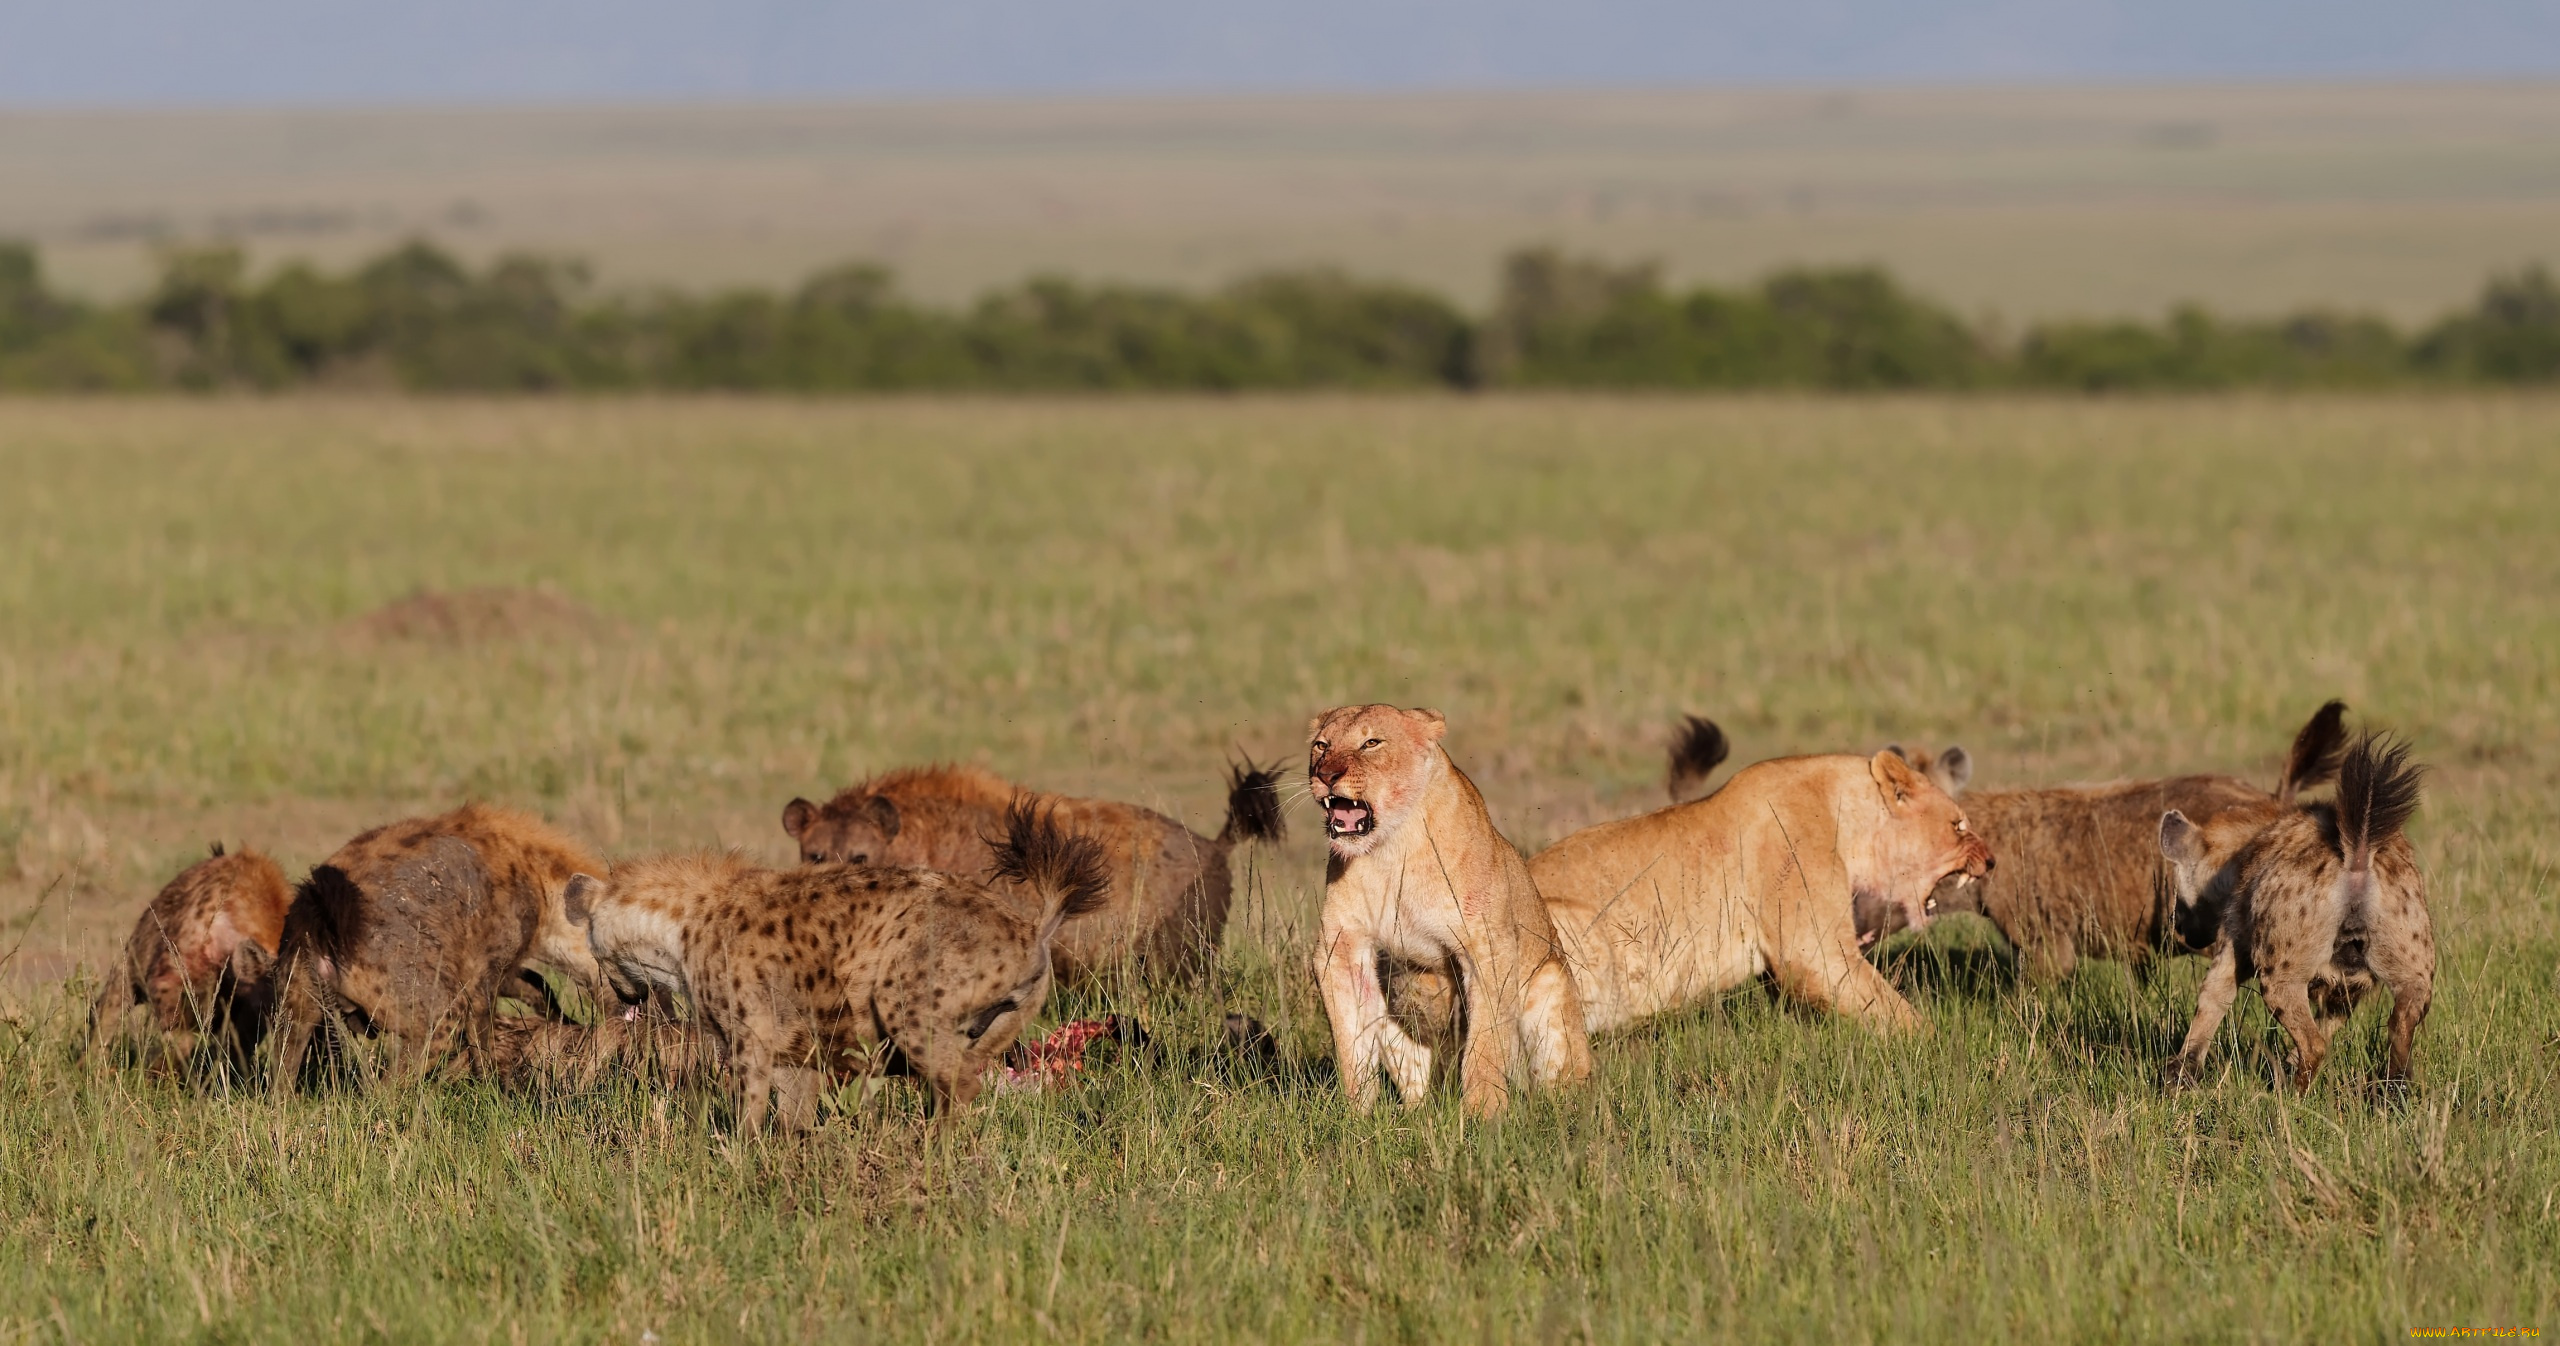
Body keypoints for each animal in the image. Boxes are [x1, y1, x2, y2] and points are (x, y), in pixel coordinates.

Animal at [1307, 704, 1591, 1117]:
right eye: (1321, 746)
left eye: (1371, 742)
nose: (1325, 776)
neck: (1391, 849)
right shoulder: (1340, 948)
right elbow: (1351, 1042)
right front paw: (1357, 1115)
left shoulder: (1486, 944)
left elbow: (1485, 1040)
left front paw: (1484, 1113)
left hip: (1552, 1000)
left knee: (1563, 1085)